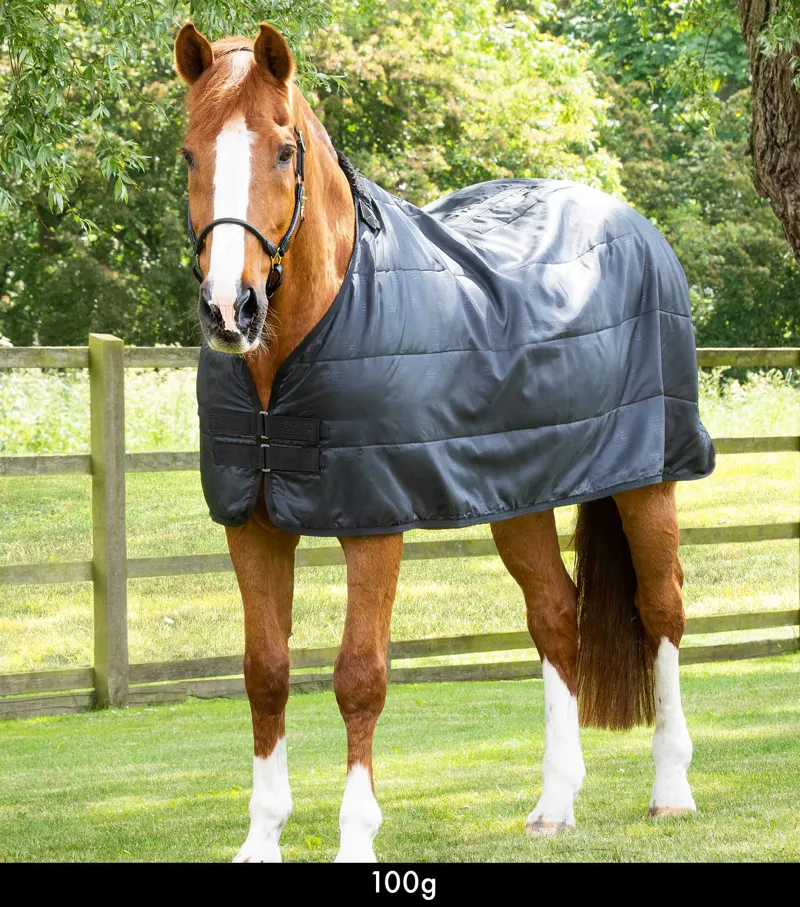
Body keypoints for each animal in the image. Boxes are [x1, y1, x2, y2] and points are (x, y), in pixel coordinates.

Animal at [174, 22, 704, 862]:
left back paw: (671, 789)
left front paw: (357, 838)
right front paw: (260, 838)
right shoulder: (251, 523)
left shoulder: (373, 524)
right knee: (556, 615)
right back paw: (554, 802)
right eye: (192, 154)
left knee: (661, 610)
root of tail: (634, 225)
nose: (232, 309)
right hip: (519, 493)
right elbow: (265, 672)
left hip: (647, 479)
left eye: (285, 150)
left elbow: (359, 675)